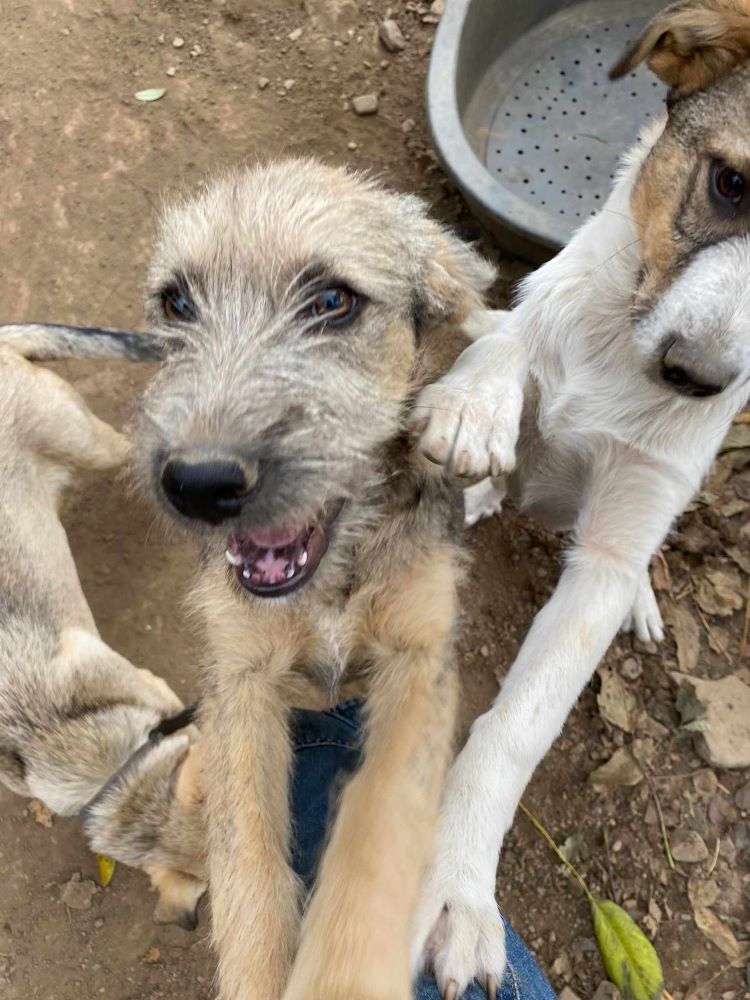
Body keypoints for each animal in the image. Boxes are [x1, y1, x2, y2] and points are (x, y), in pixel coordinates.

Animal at [414, 3, 750, 996]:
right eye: (730, 182)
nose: (698, 378)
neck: (622, 352)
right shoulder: (537, 308)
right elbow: (505, 339)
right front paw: (473, 412)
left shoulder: (612, 545)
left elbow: (513, 732)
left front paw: (456, 895)